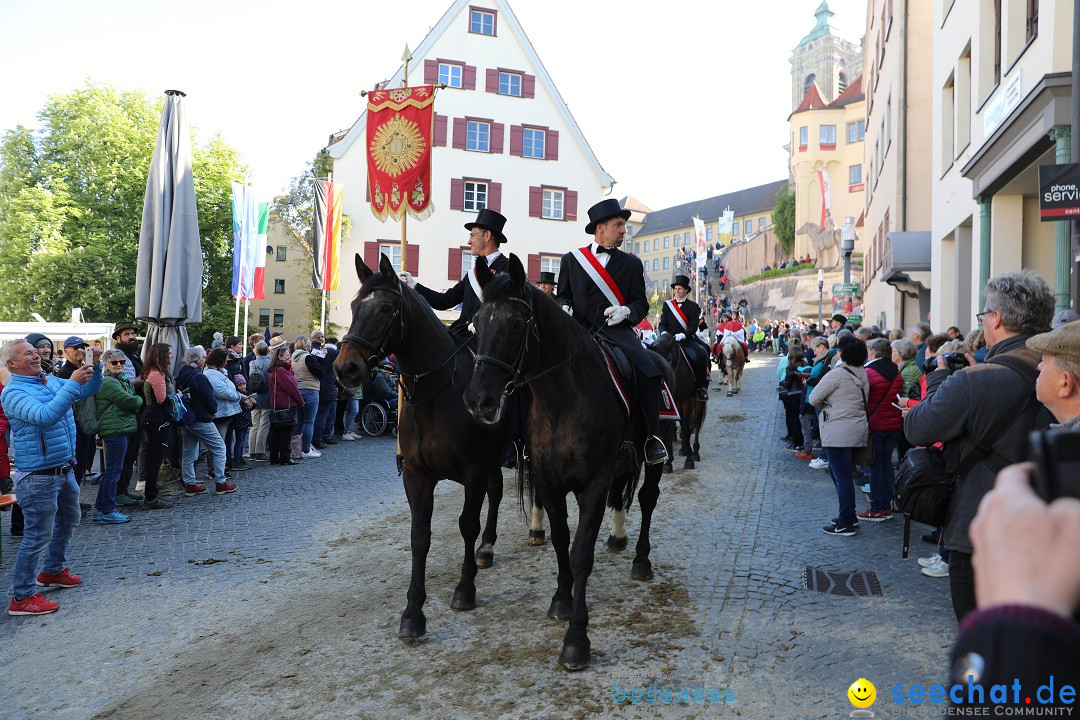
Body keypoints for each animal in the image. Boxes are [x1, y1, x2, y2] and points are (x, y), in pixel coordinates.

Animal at [334, 255, 507, 639]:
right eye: (353, 306)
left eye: (386, 308)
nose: (344, 368)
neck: (437, 393)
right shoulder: (416, 475)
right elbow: (419, 537)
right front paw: (413, 612)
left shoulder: (473, 469)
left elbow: (467, 524)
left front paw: (465, 589)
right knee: (498, 490)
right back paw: (487, 549)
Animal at [462, 253, 665, 669]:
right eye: (477, 322)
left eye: (516, 323)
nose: (479, 401)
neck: (562, 401)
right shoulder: (548, 481)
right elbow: (559, 541)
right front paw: (561, 600)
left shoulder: (594, 484)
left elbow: (581, 553)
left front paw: (576, 641)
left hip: (653, 457)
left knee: (647, 500)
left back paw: (641, 560)